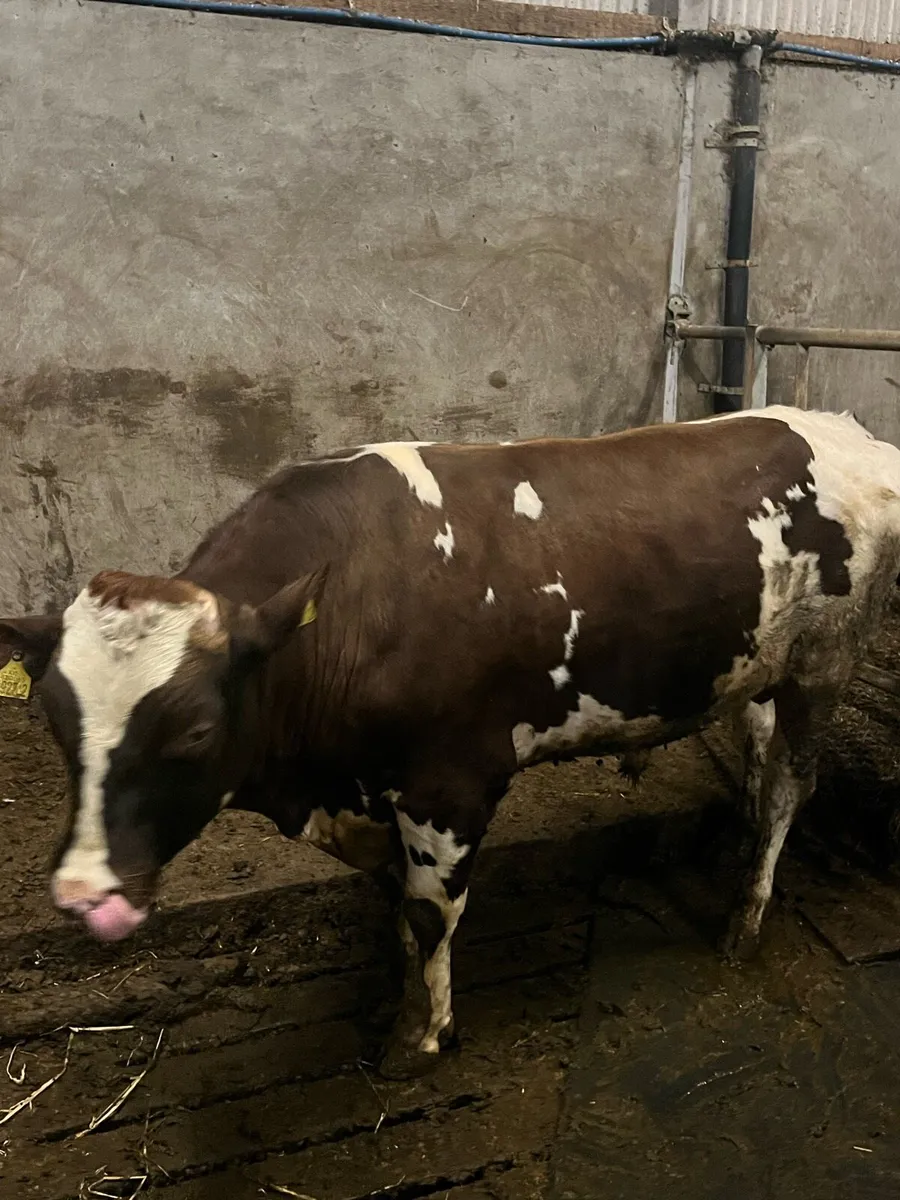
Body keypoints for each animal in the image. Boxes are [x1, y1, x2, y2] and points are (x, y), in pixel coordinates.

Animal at [2, 405, 899, 1077]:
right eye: (55, 717)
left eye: (195, 729)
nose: (84, 892)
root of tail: (845, 429)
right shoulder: (371, 791)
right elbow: (396, 901)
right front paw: (400, 990)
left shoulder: (451, 783)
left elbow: (431, 911)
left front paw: (422, 1035)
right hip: (759, 666)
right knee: (757, 752)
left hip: (825, 663)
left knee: (787, 788)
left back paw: (745, 920)